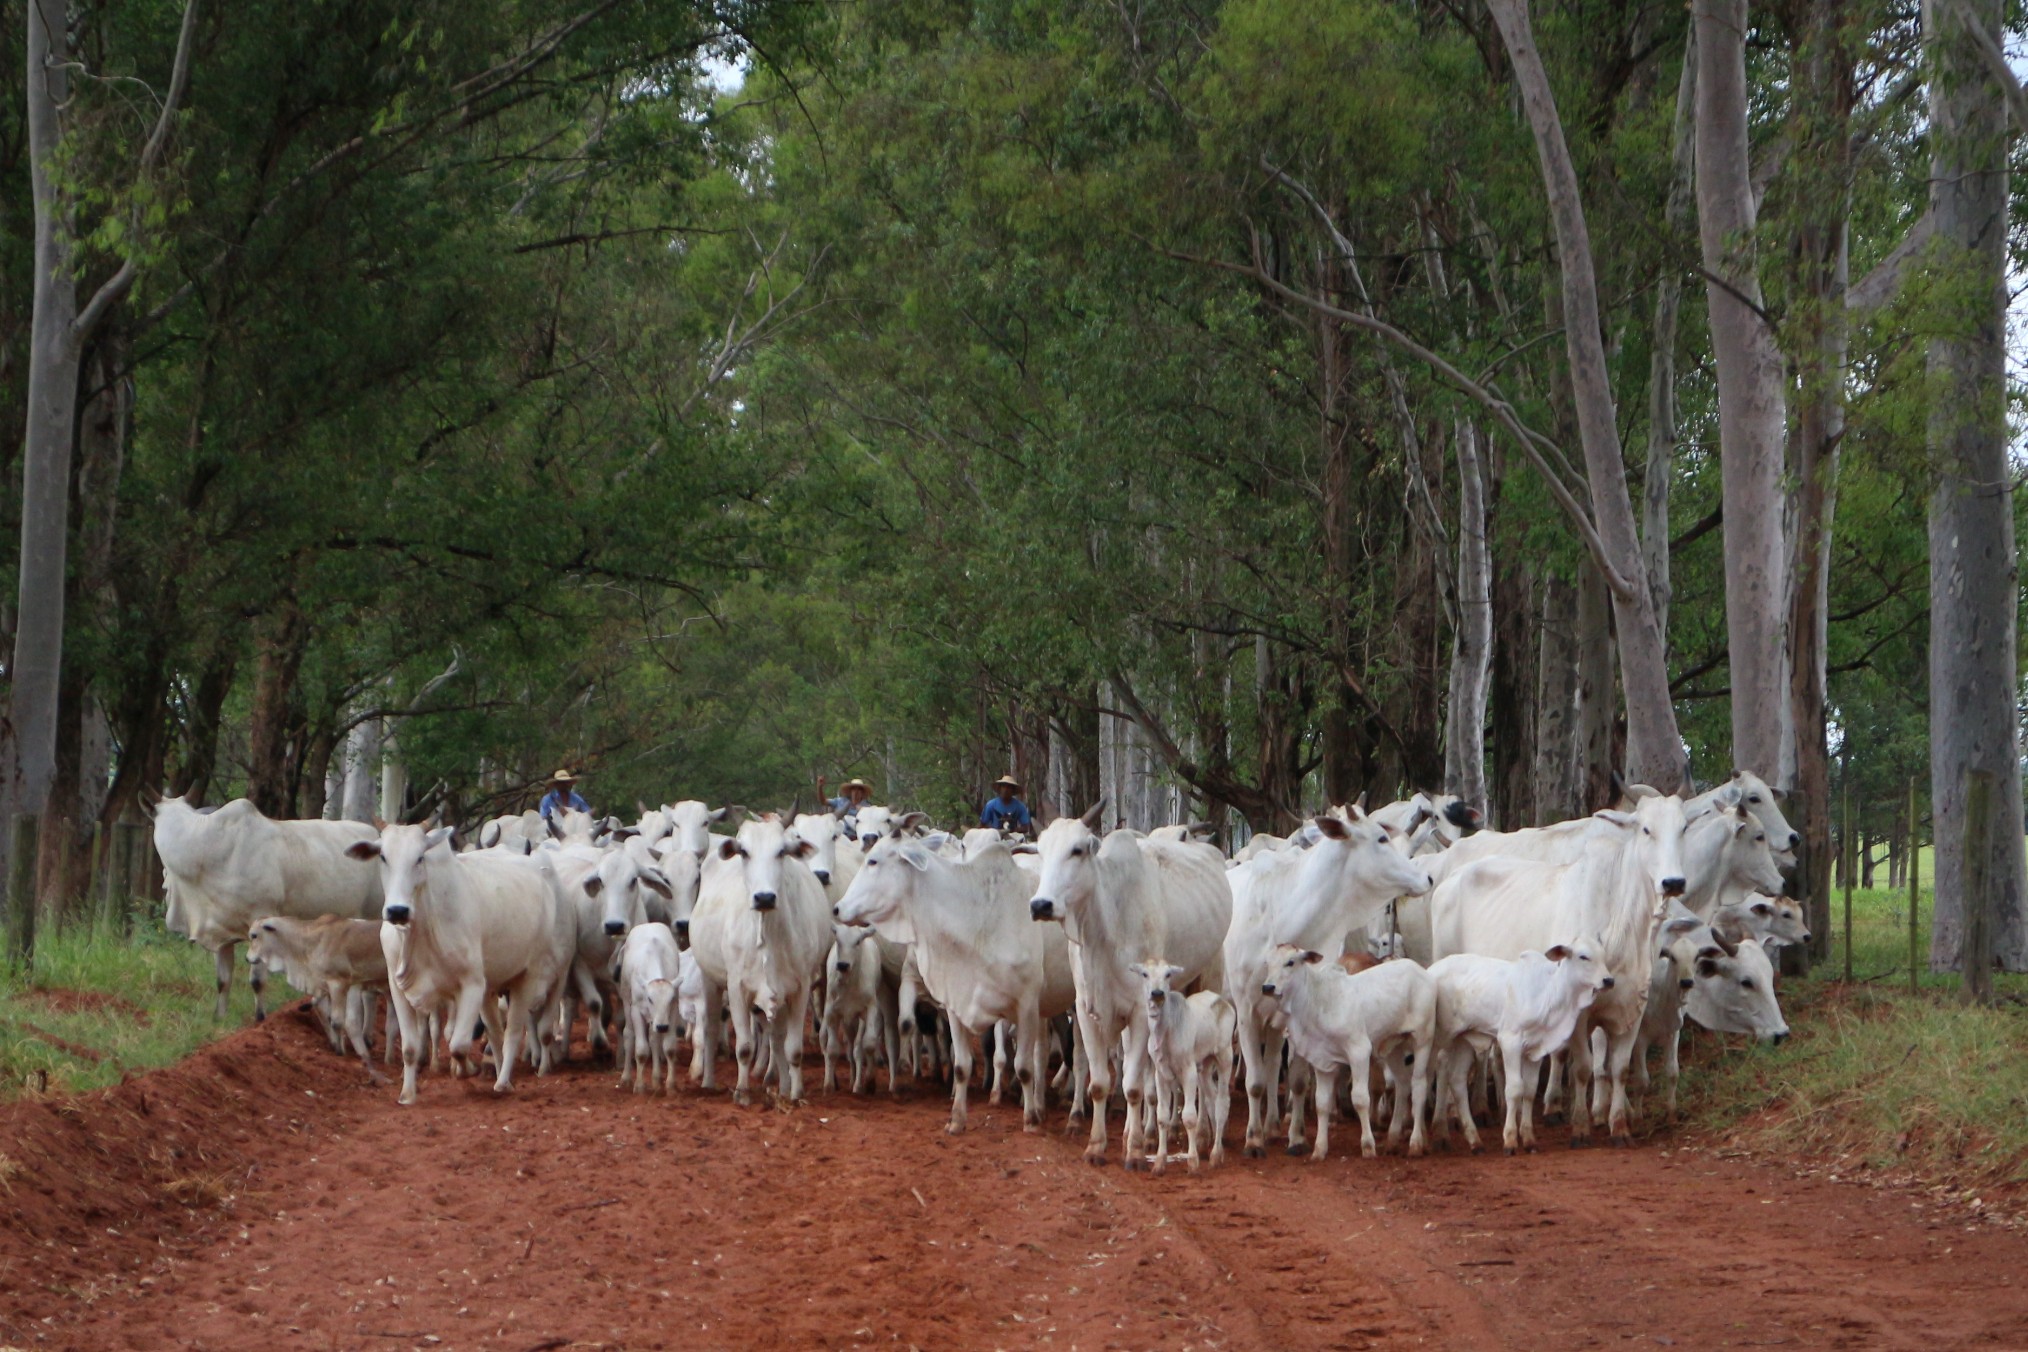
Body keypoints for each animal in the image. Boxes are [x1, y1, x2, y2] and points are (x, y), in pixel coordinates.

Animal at [154, 794, 381, 1013]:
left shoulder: (260, 919)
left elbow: (257, 981)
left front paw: (260, 1018)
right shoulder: (221, 932)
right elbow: (223, 982)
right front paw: (219, 1018)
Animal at [350, 818, 580, 1102]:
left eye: (419, 857)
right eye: (383, 857)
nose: (397, 911)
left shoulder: (472, 984)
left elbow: (458, 1043)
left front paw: (466, 1070)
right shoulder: (399, 989)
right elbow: (410, 1047)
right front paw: (407, 1094)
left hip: (531, 977)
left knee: (515, 1031)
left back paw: (504, 1081)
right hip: (492, 988)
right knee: (496, 1032)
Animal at [1127, 960, 1233, 1175]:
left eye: (1168, 974)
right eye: (1144, 974)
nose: (1157, 993)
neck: (1166, 1030)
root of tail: (1224, 1003)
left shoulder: (1189, 1071)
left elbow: (1189, 1116)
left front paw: (1192, 1162)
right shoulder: (1161, 1073)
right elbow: (1162, 1116)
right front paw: (1159, 1162)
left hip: (1225, 1056)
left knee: (1222, 1102)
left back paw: (1216, 1154)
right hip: (1205, 1065)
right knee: (1211, 1098)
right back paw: (1209, 1146)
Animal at [1427, 794, 1695, 1151]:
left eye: (1684, 828)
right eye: (1646, 829)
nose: (1673, 882)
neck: (1620, 924)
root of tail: (1451, 877)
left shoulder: (1632, 1010)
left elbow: (1619, 1069)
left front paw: (1619, 1126)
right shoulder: (1578, 1015)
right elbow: (1581, 1068)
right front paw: (1580, 1126)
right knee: (1444, 1063)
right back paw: (1447, 1122)